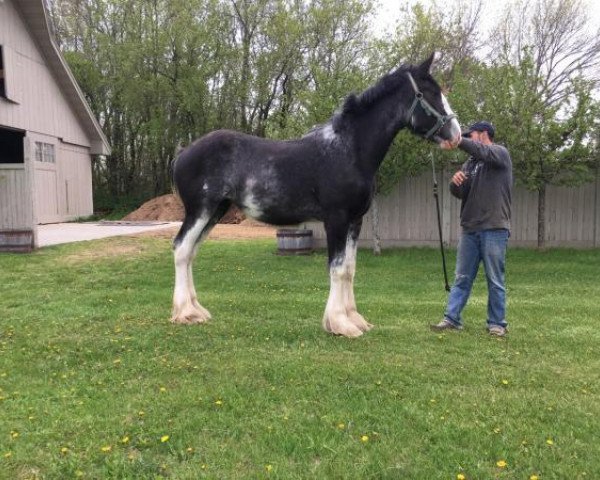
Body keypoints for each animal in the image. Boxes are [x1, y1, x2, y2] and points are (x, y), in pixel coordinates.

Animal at [171, 53, 462, 338]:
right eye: (429, 93)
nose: (456, 134)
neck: (349, 150)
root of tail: (183, 152)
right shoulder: (336, 219)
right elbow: (337, 268)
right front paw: (340, 324)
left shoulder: (355, 221)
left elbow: (349, 269)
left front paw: (355, 319)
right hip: (200, 211)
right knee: (182, 249)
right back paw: (185, 313)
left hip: (215, 212)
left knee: (191, 252)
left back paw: (197, 311)